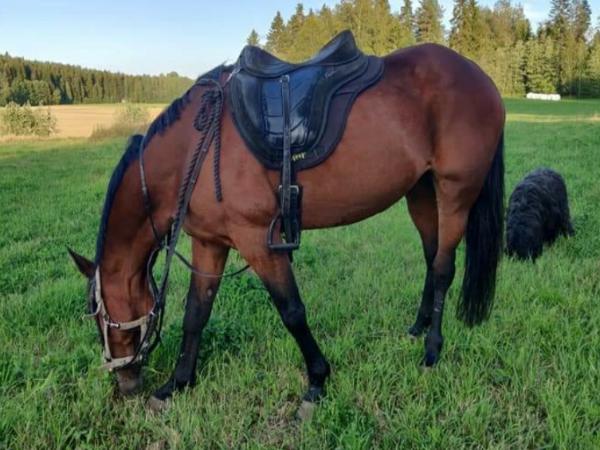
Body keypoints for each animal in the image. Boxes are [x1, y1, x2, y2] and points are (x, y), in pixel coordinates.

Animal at [69, 40, 505, 412]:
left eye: (100, 318)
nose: (124, 384)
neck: (194, 148)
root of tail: (480, 76)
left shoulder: (258, 241)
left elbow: (292, 311)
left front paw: (317, 381)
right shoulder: (209, 242)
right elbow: (196, 312)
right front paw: (177, 383)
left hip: (456, 192)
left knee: (445, 267)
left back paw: (432, 349)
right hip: (420, 192)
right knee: (431, 259)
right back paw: (418, 327)